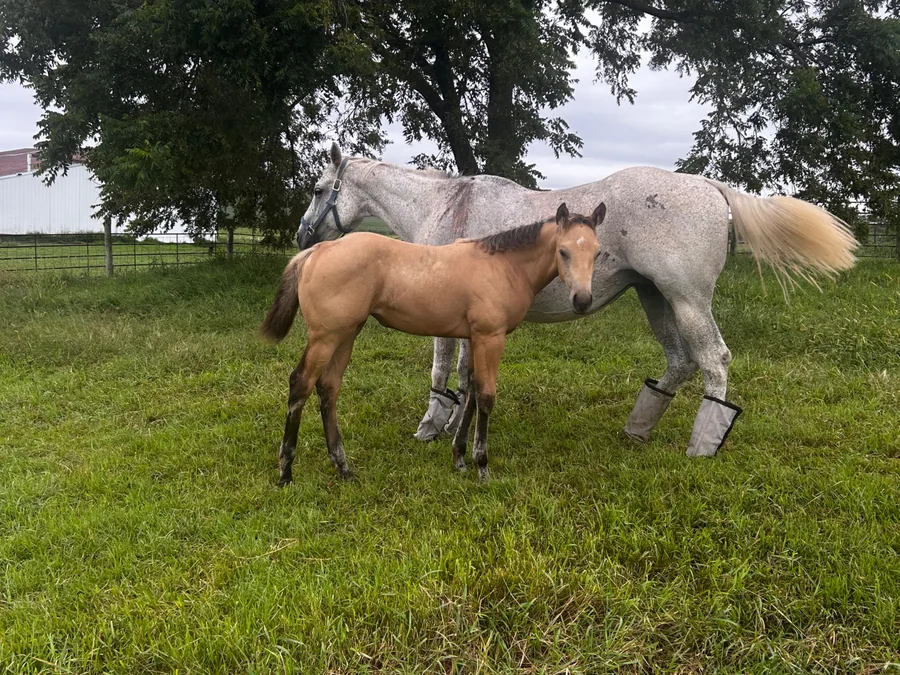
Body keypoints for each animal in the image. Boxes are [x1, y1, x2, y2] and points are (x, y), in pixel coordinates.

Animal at [262, 202, 605, 484]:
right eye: (563, 251)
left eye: (597, 253)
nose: (582, 300)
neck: (503, 265)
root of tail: (317, 251)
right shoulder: (490, 337)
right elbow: (486, 396)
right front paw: (482, 466)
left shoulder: (474, 338)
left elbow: (470, 390)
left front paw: (460, 459)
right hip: (325, 336)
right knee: (301, 383)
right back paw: (286, 471)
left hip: (347, 333)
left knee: (328, 388)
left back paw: (342, 467)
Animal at [297, 143, 857, 458]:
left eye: (320, 188)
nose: (302, 234)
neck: (449, 206)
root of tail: (706, 185)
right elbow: (465, 374)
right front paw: (455, 424)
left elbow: (441, 370)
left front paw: (431, 426)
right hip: (654, 299)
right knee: (679, 362)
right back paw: (637, 431)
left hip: (686, 300)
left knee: (713, 360)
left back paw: (702, 447)